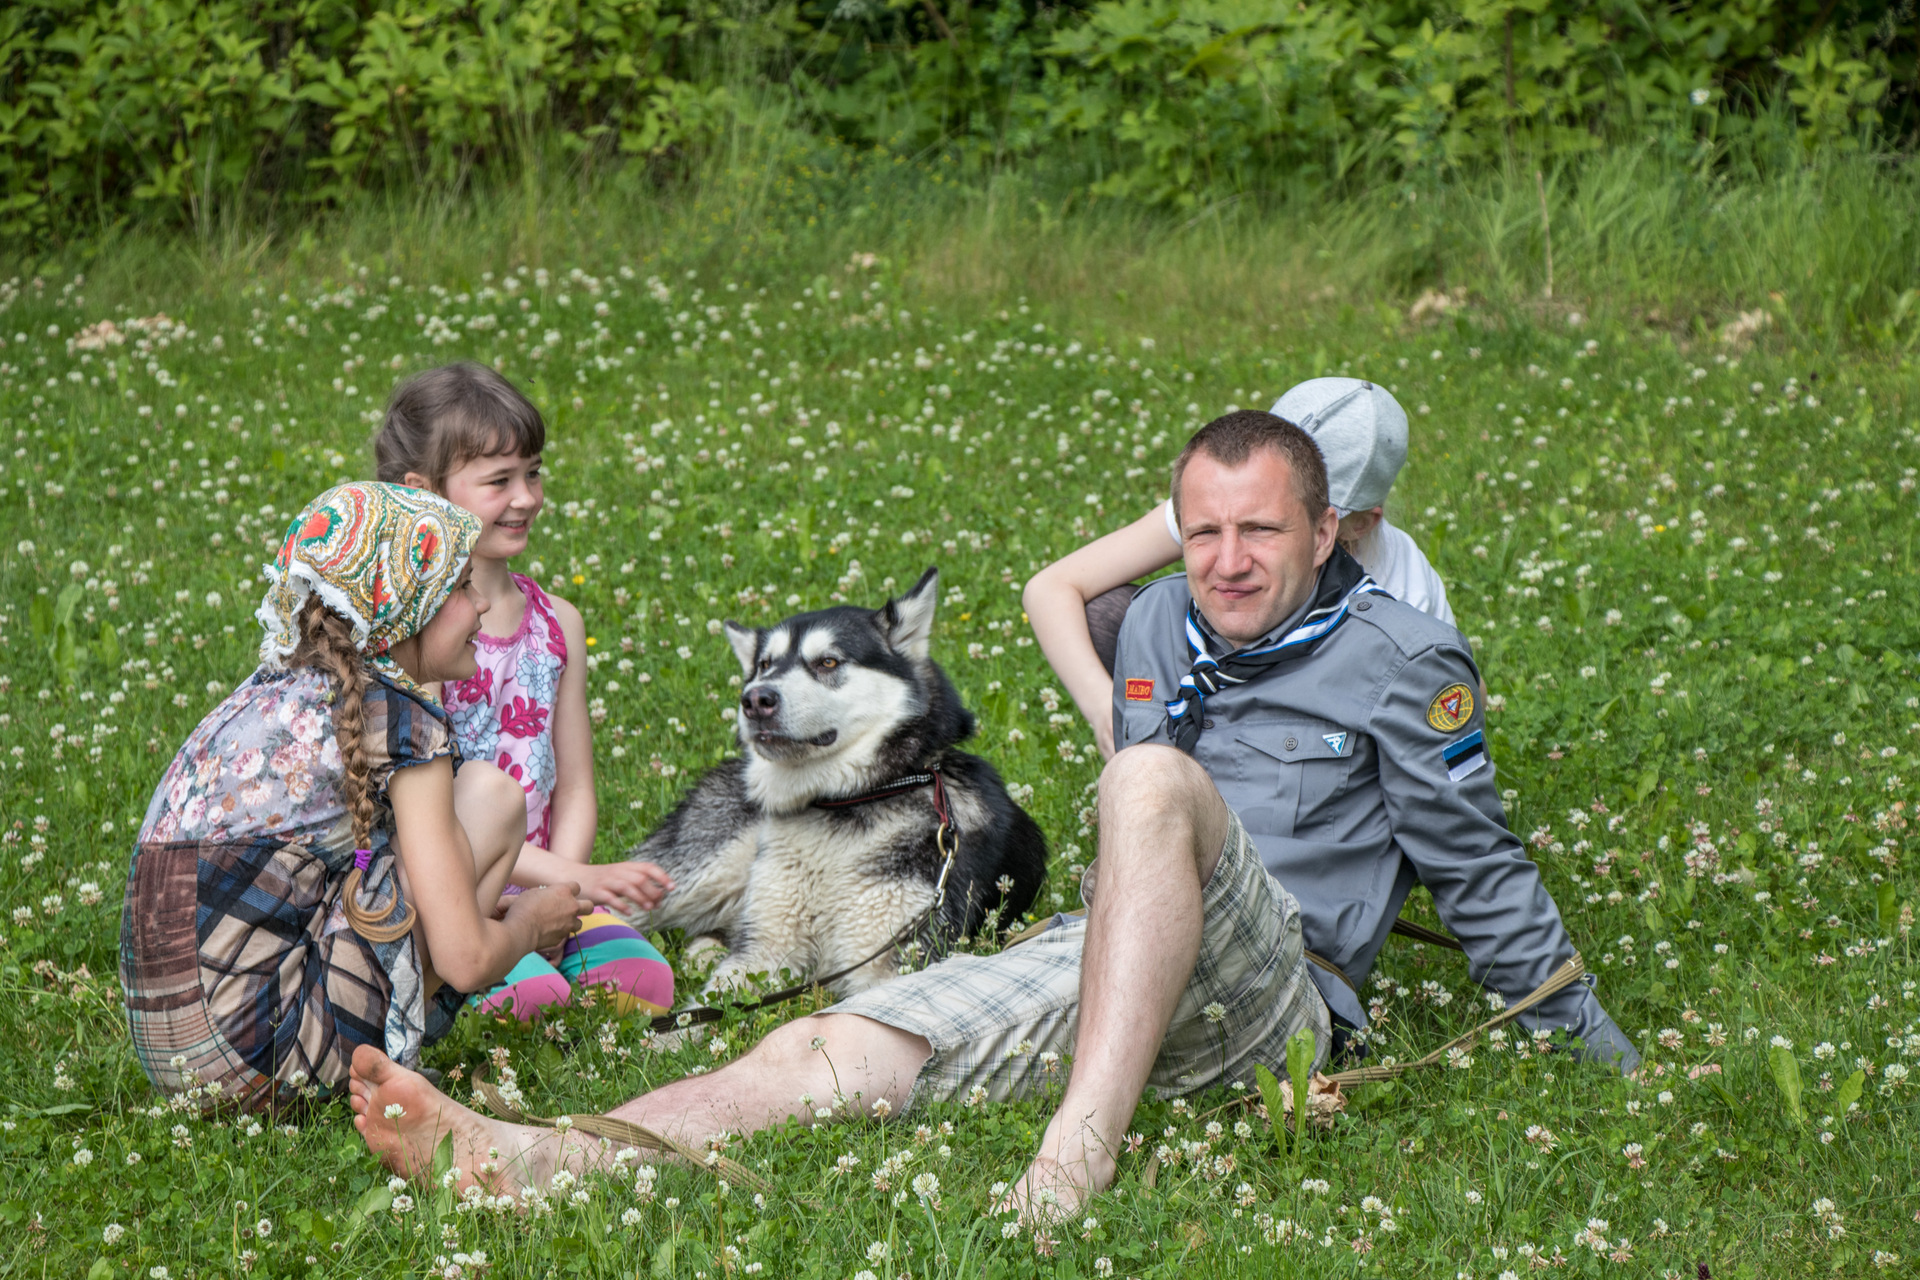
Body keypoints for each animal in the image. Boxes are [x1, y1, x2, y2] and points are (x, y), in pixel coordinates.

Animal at [617, 568, 1048, 998]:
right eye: (764, 664)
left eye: (827, 661)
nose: (754, 699)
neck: (848, 802)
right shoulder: (761, 953)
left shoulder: (890, 963)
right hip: (694, 874)